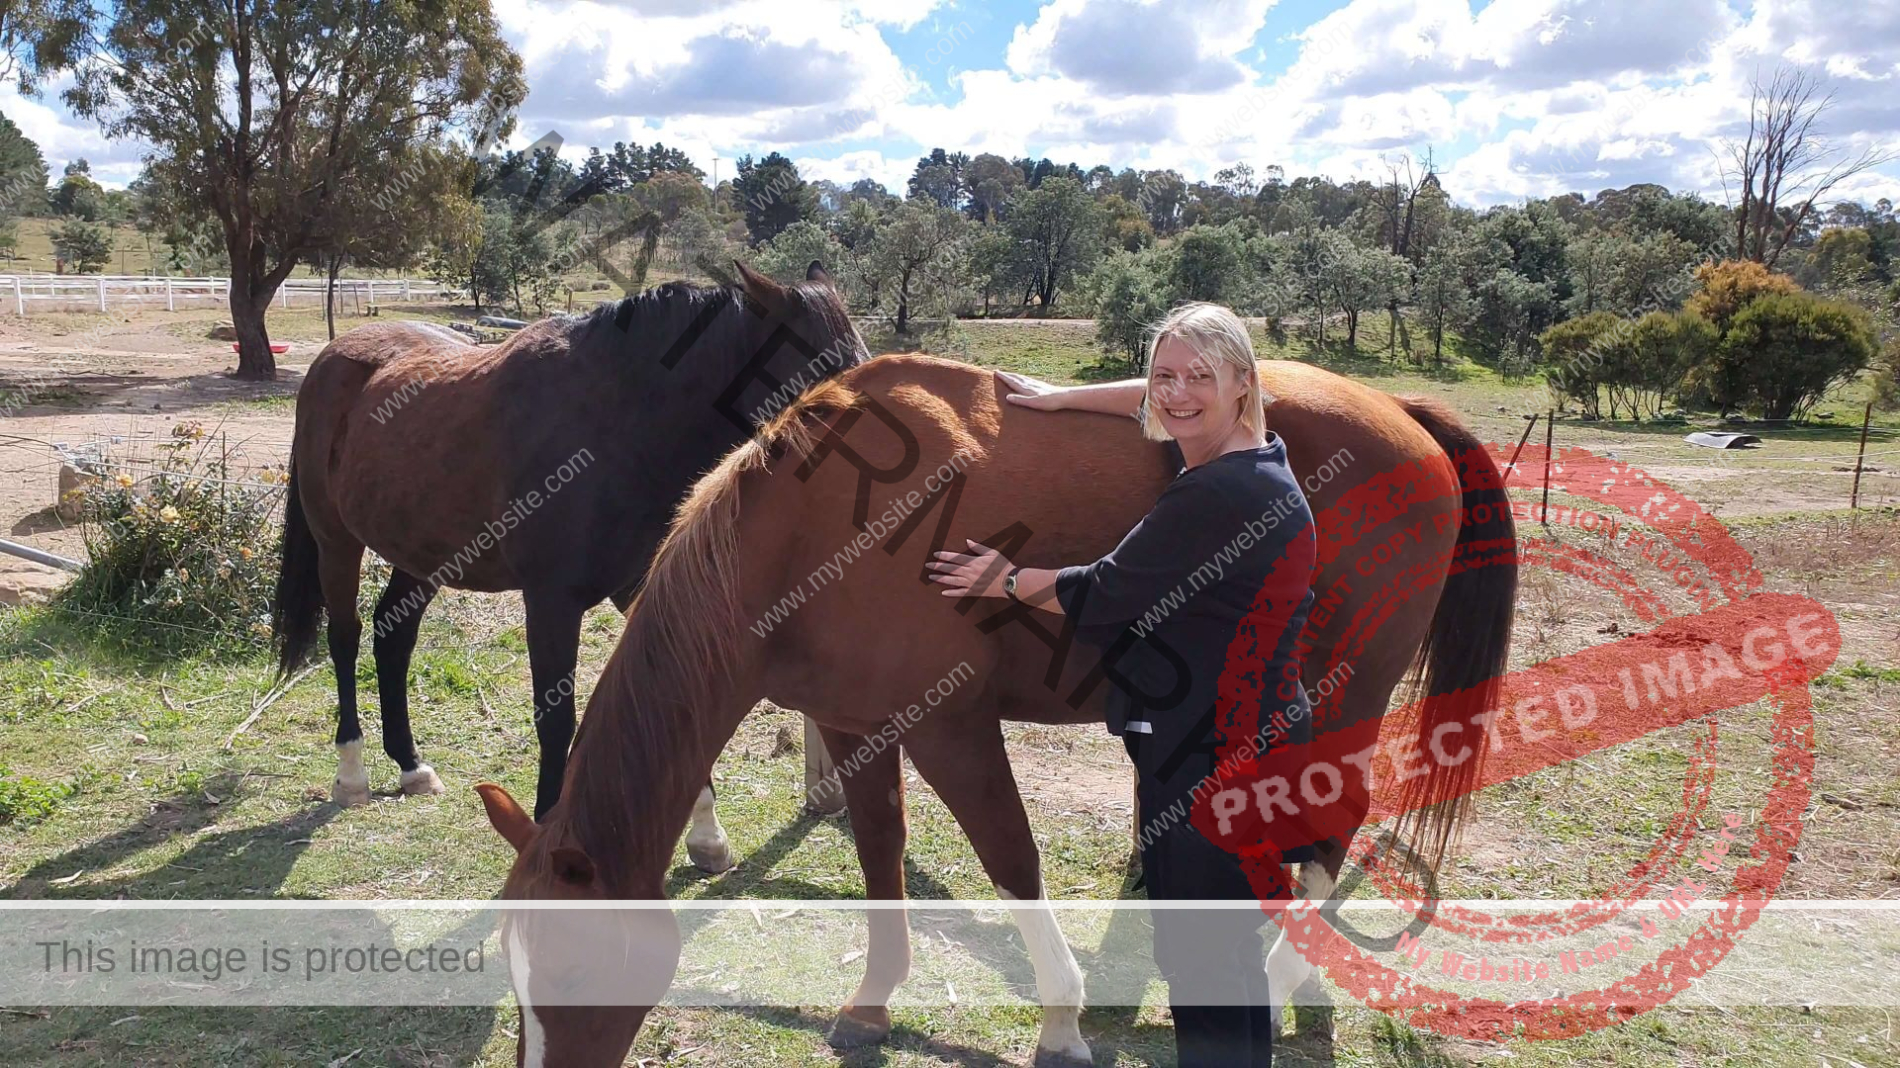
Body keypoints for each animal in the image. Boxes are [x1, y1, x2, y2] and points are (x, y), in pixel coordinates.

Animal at [273, 262, 868, 870]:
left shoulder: (640, 590)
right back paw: (352, 773)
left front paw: (706, 836)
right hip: (336, 541)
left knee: (393, 637)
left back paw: (412, 766)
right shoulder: (551, 603)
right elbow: (555, 719)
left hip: (420, 554)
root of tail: (333, 358)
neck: (620, 425)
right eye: (820, 383)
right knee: (345, 637)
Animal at [476, 354, 1517, 1067]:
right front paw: (872, 999)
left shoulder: (952, 726)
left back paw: (1276, 975)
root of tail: (1406, 416)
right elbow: (880, 850)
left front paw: (1059, 1018)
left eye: (570, 973)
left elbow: (1012, 858)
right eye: (514, 971)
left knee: (1335, 821)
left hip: (1344, 697)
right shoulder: (857, 725)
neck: (806, 538)